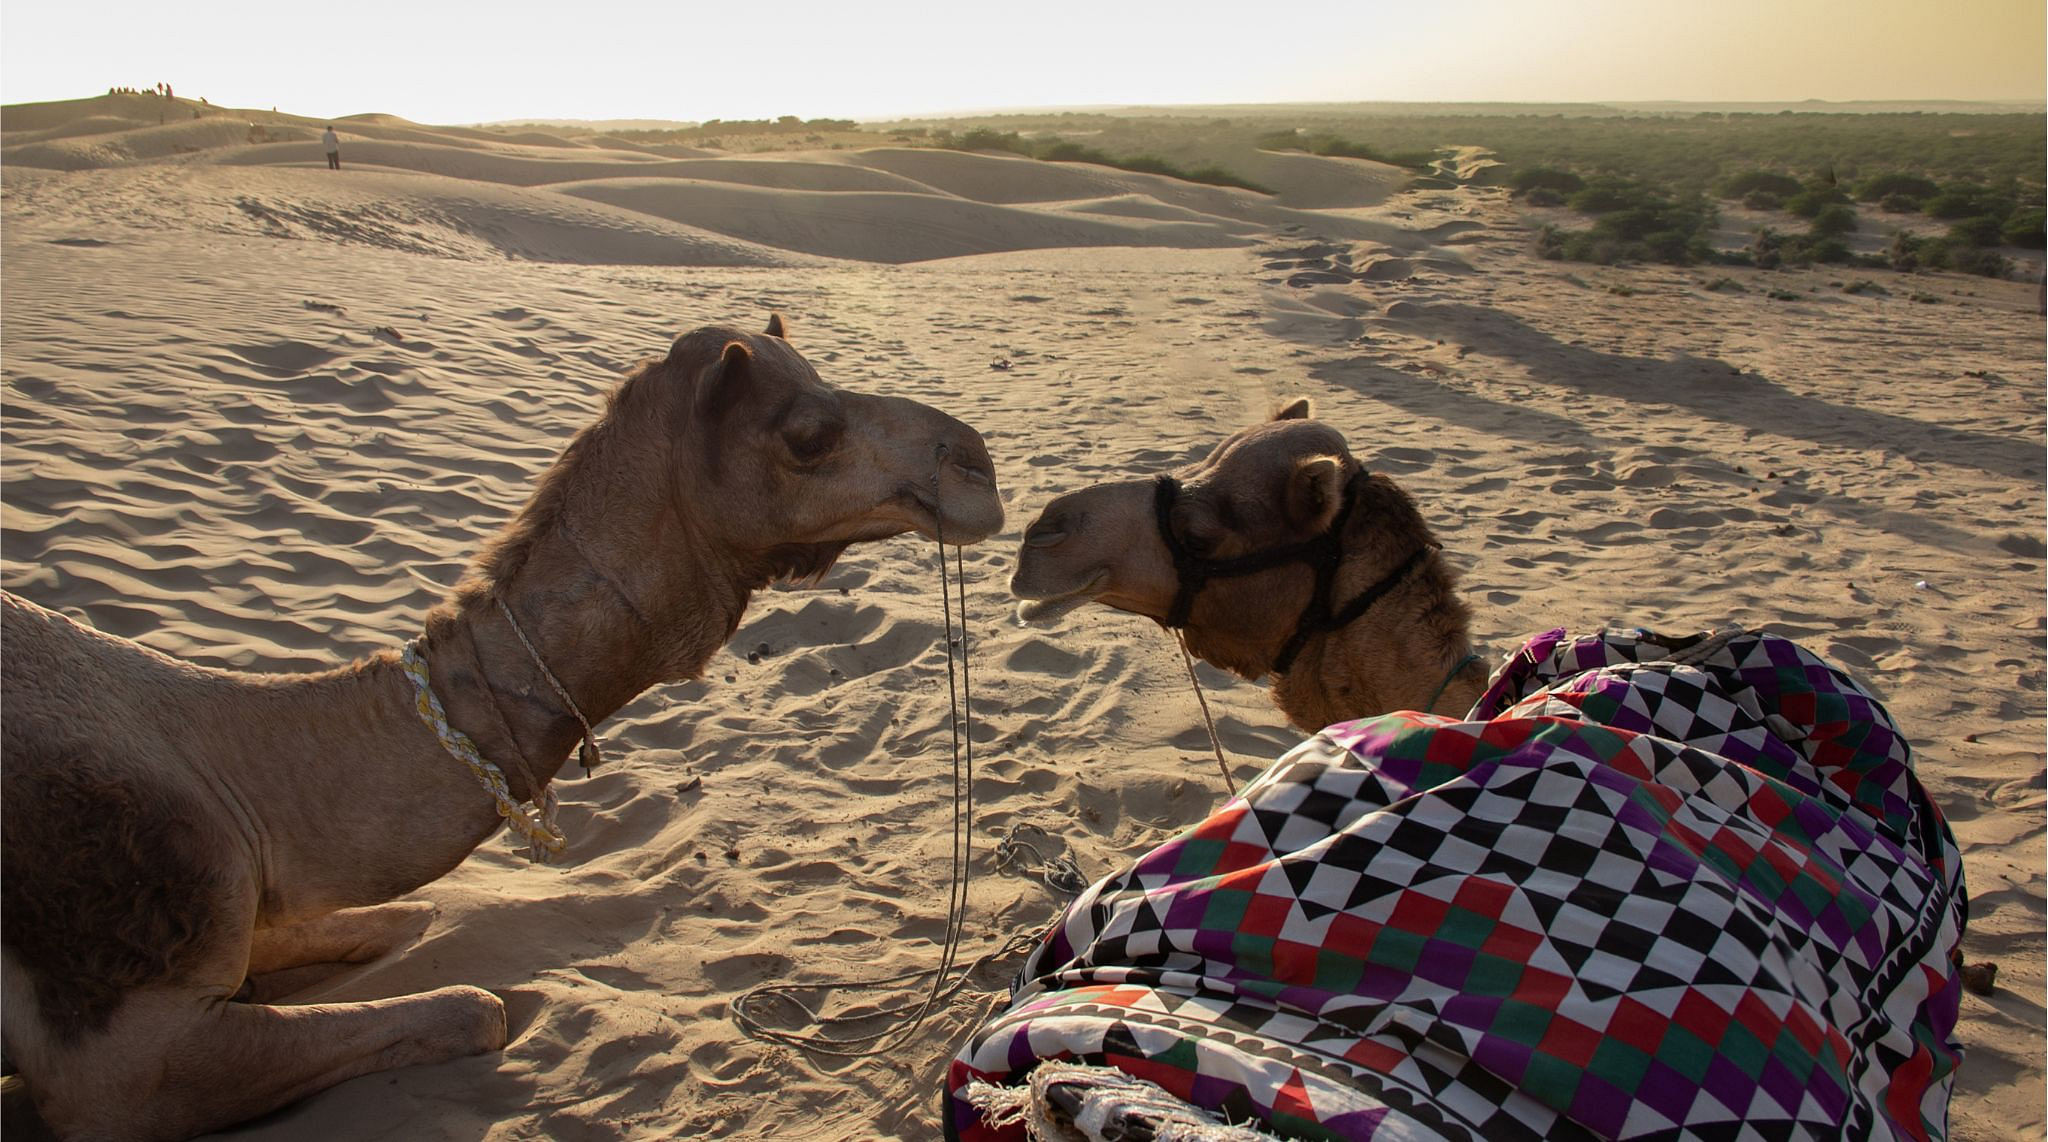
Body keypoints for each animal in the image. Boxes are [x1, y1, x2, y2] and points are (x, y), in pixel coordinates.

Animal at [0, 315, 1007, 1142]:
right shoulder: (126, 1056)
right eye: (809, 434)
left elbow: (415, 919)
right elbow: (474, 1006)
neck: (238, 778)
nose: (978, 463)